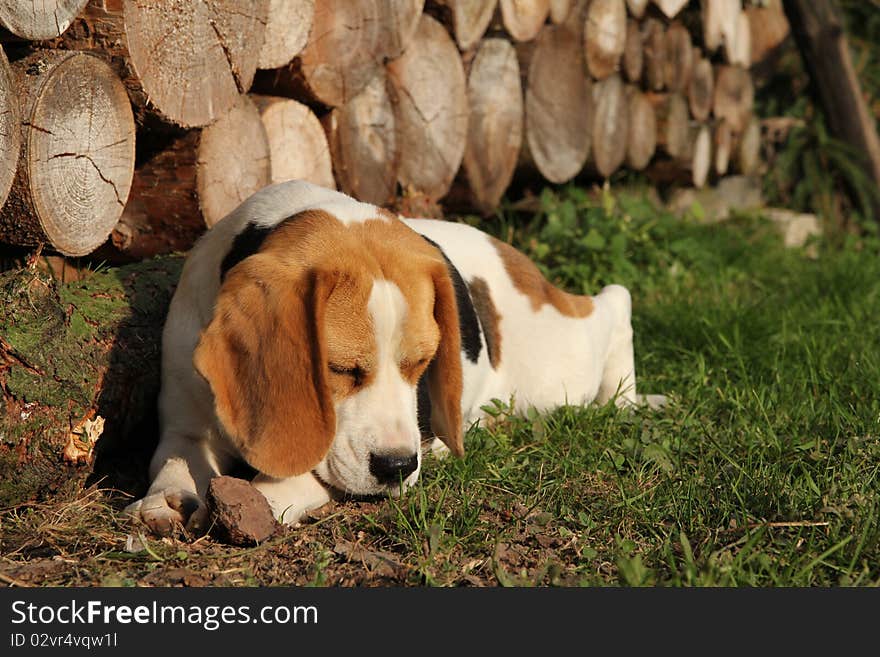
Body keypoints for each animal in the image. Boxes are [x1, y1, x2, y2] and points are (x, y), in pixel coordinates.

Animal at [125, 179, 660, 532]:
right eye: (340, 369)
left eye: (421, 363)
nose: (398, 467)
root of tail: (510, 251)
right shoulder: (185, 426)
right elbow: (174, 462)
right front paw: (166, 501)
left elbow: (303, 477)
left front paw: (261, 498)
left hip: (559, 370)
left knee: (617, 299)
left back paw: (629, 400)